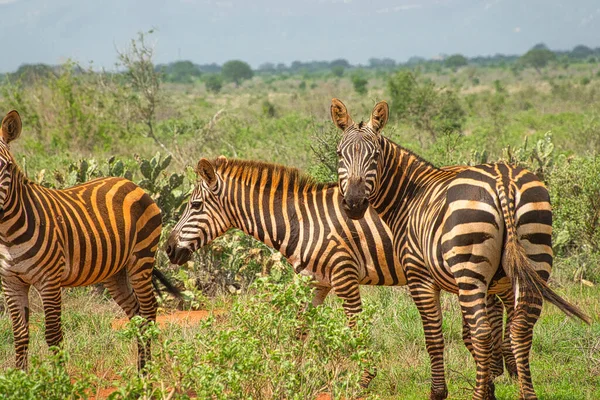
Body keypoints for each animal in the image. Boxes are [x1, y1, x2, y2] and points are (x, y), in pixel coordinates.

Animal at [0, 110, 178, 372]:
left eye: (8, 166)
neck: (8, 233)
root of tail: (129, 182)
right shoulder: (11, 282)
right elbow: (20, 335)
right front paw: (21, 378)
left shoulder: (49, 280)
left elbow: (53, 335)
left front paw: (58, 379)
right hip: (116, 271)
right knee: (135, 311)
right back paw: (140, 369)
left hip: (141, 259)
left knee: (148, 310)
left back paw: (146, 371)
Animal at [165, 155, 520, 384]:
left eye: (194, 206)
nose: (167, 249)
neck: (300, 222)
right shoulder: (315, 281)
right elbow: (299, 329)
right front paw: (290, 373)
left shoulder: (343, 275)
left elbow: (355, 329)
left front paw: (365, 379)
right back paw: (504, 370)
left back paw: (506, 370)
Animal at [332, 97, 592, 400]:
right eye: (339, 154)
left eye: (374, 156)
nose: (354, 204)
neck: (410, 196)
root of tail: (503, 179)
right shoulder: (489, 285)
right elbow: (482, 336)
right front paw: (491, 385)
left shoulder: (420, 277)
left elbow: (436, 337)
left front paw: (440, 392)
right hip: (533, 257)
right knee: (520, 328)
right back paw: (526, 394)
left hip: (470, 269)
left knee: (482, 332)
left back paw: (478, 396)